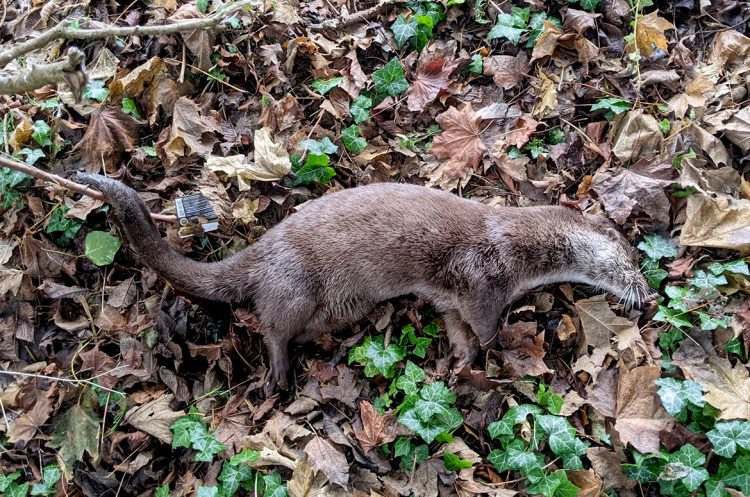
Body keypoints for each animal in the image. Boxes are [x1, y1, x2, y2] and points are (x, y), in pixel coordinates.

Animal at [75, 173, 651, 394]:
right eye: (633, 261)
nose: (646, 295)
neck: (516, 241)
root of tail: (263, 248)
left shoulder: (448, 296)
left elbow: (456, 325)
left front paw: (461, 359)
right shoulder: (483, 275)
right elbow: (485, 321)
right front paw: (494, 346)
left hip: (341, 303)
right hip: (294, 282)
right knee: (272, 326)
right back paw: (278, 373)